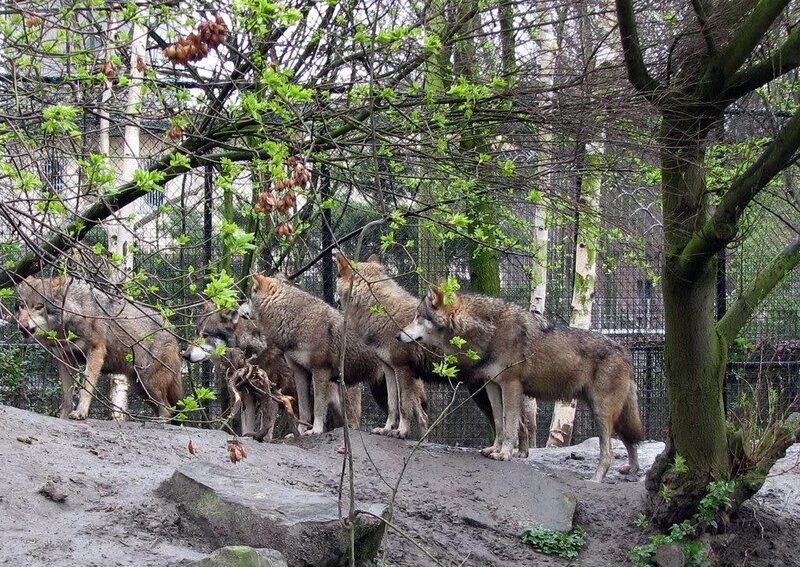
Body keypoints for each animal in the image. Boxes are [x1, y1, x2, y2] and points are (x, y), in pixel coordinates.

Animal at [16, 276, 182, 421]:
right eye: (22, 306)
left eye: (39, 306)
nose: (22, 326)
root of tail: (172, 330)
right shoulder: (65, 358)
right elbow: (66, 396)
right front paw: (63, 417)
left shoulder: (96, 351)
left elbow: (86, 386)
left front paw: (80, 413)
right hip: (141, 388)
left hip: (149, 383)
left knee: (167, 409)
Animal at [182, 302, 299, 440]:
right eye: (196, 333)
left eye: (205, 335)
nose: (185, 355)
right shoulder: (246, 397)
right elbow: (247, 429)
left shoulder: (272, 396)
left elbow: (267, 431)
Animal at [249, 274, 386, 434]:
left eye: (249, 298)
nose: (236, 309)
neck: (297, 320)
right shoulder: (299, 372)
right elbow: (304, 410)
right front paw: (301, 431)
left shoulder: (320, 370)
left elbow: (318, 407)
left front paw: (316, 430)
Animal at [337, 253, 537, 451]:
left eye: (337, 275)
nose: (336, 301)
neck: (382, 312)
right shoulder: (389, 369)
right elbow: (393, 406)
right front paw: (386, 429)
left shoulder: (403, 369)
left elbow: (403, 407)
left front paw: (401, 432)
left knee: (521, 426)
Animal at [400, 285, 643, 482]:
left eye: (418, 316)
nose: (397, 336)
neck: (491, 332)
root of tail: (626, 353)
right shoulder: (492, 385)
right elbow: (499, 422)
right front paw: (494, 449)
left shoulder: (511, 385)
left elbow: (510, 425)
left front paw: (505, 454)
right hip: (610, 413)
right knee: (629, 440)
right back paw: (632, 469)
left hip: (601, 413)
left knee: (608, 452)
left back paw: (596, 480)